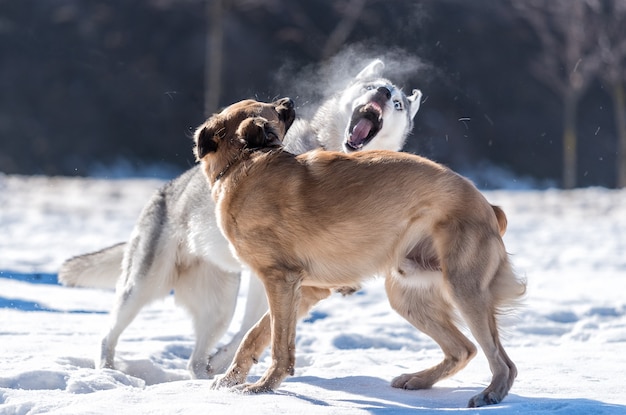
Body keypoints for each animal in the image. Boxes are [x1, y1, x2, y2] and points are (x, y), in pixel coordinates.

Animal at [193, 99, 524, 408]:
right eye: (270, 107)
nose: (288, 101)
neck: (241, 163)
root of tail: (487, 205)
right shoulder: (304, 289)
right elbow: (256, 334)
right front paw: (230, 379)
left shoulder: (281, 280)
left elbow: (277, 343)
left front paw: (263, 386)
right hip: (408, 297)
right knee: (463, 349)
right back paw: (419, 379)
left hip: (464, 290)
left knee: (503, 362)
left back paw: (491, 394)